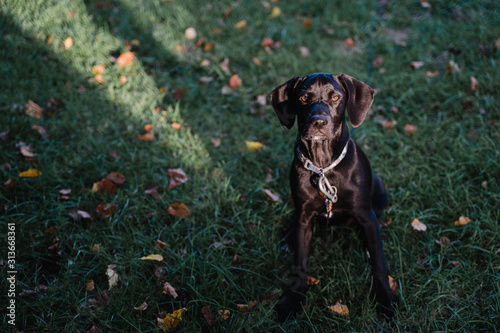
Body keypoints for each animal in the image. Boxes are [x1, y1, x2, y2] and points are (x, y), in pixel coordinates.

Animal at [270, 73, 394, 320]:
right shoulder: (304, 216)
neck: (323, 168)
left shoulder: (366, 215)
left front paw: (385, 299)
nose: (319, 122)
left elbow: (379, 263)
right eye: (304, 97)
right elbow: (300, 263)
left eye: (336, 97)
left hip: (379, 188)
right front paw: (293, 298)